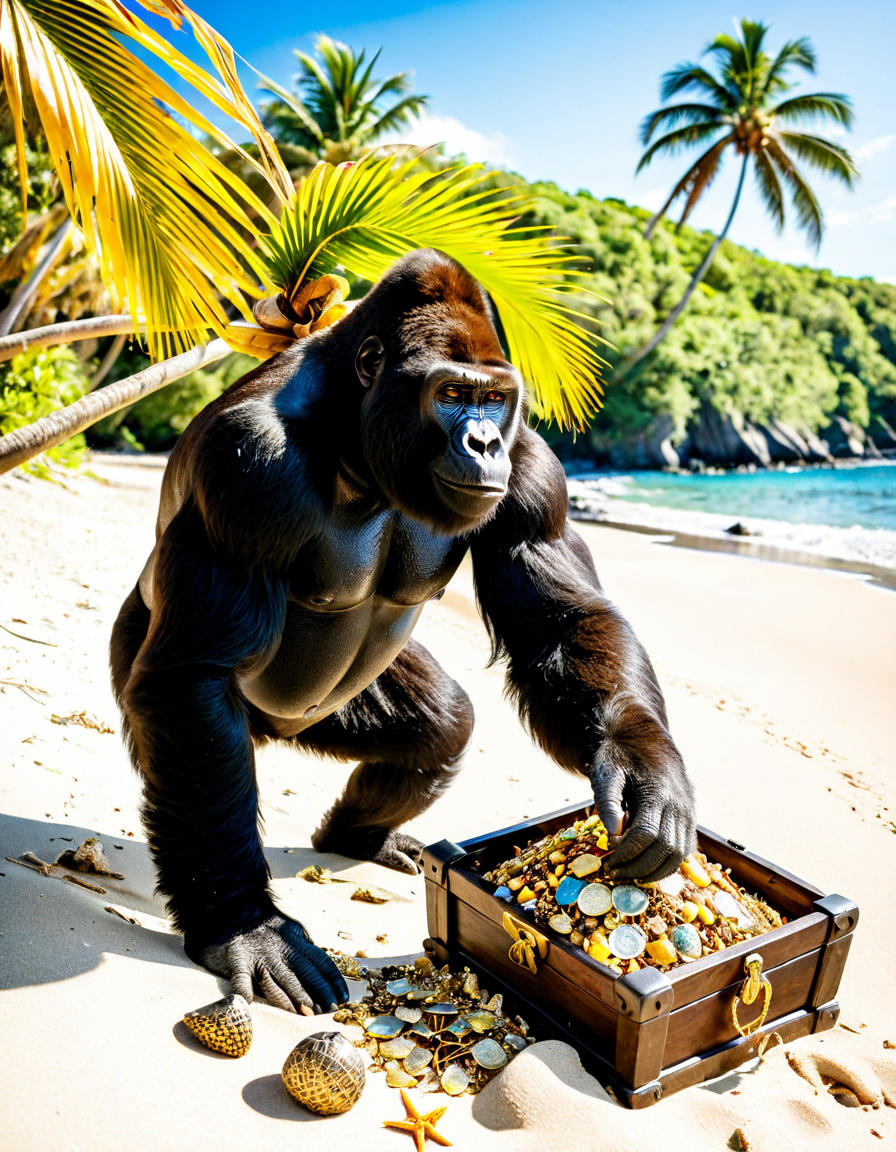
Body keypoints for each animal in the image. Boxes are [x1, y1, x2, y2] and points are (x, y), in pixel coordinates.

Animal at [111, 249, 697, 1013]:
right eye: (449, 394)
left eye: (493, 399)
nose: (483, 441)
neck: (352, 434)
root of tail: (276, 733)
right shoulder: (248, 466)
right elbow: (194, 677)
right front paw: (244, 925)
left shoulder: (532, 465)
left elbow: (562, 623)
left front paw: (641, 766)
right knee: (190, 715)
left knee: (442, 727)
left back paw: (355, 836)